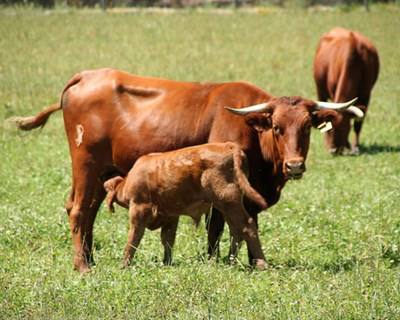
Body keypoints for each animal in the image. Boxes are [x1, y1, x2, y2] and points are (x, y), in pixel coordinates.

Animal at [103, 142, 268, 270]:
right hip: (226, 206)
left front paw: (124, 264)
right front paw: (167, 262)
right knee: (236, 231)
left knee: (247, 226)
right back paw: (231, 261)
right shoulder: (170, 216)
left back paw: (261, 264)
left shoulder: (139, 210)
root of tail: (228, 145)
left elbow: (134, 238)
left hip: (229, 201)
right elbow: (167, 240)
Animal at [312, 26, 378, 154]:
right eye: (329, 127)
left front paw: (355, 147)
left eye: (344, 127)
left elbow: (358, 125)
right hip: (320, 89)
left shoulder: (366, 95)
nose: (333, 150)